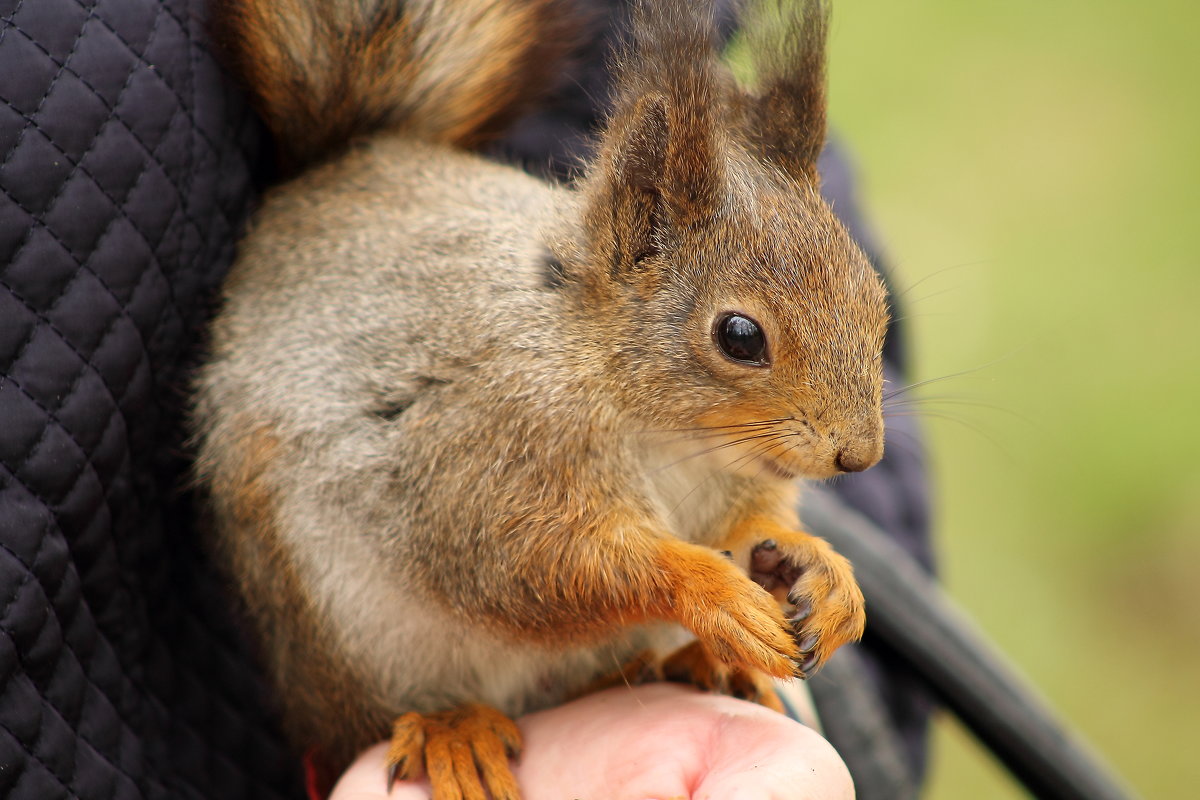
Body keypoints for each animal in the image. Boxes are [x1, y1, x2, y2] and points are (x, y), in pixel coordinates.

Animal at [194, 0, 892, 796]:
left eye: (873, 298)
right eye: (740, 336)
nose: (858, 455)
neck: (671, 435)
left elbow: (755, 527)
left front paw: (824, 573)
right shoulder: (488, 445)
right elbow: (541, 562)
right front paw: (712, 593)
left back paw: (698, 665)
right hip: (339, 630)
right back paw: (450, 730)